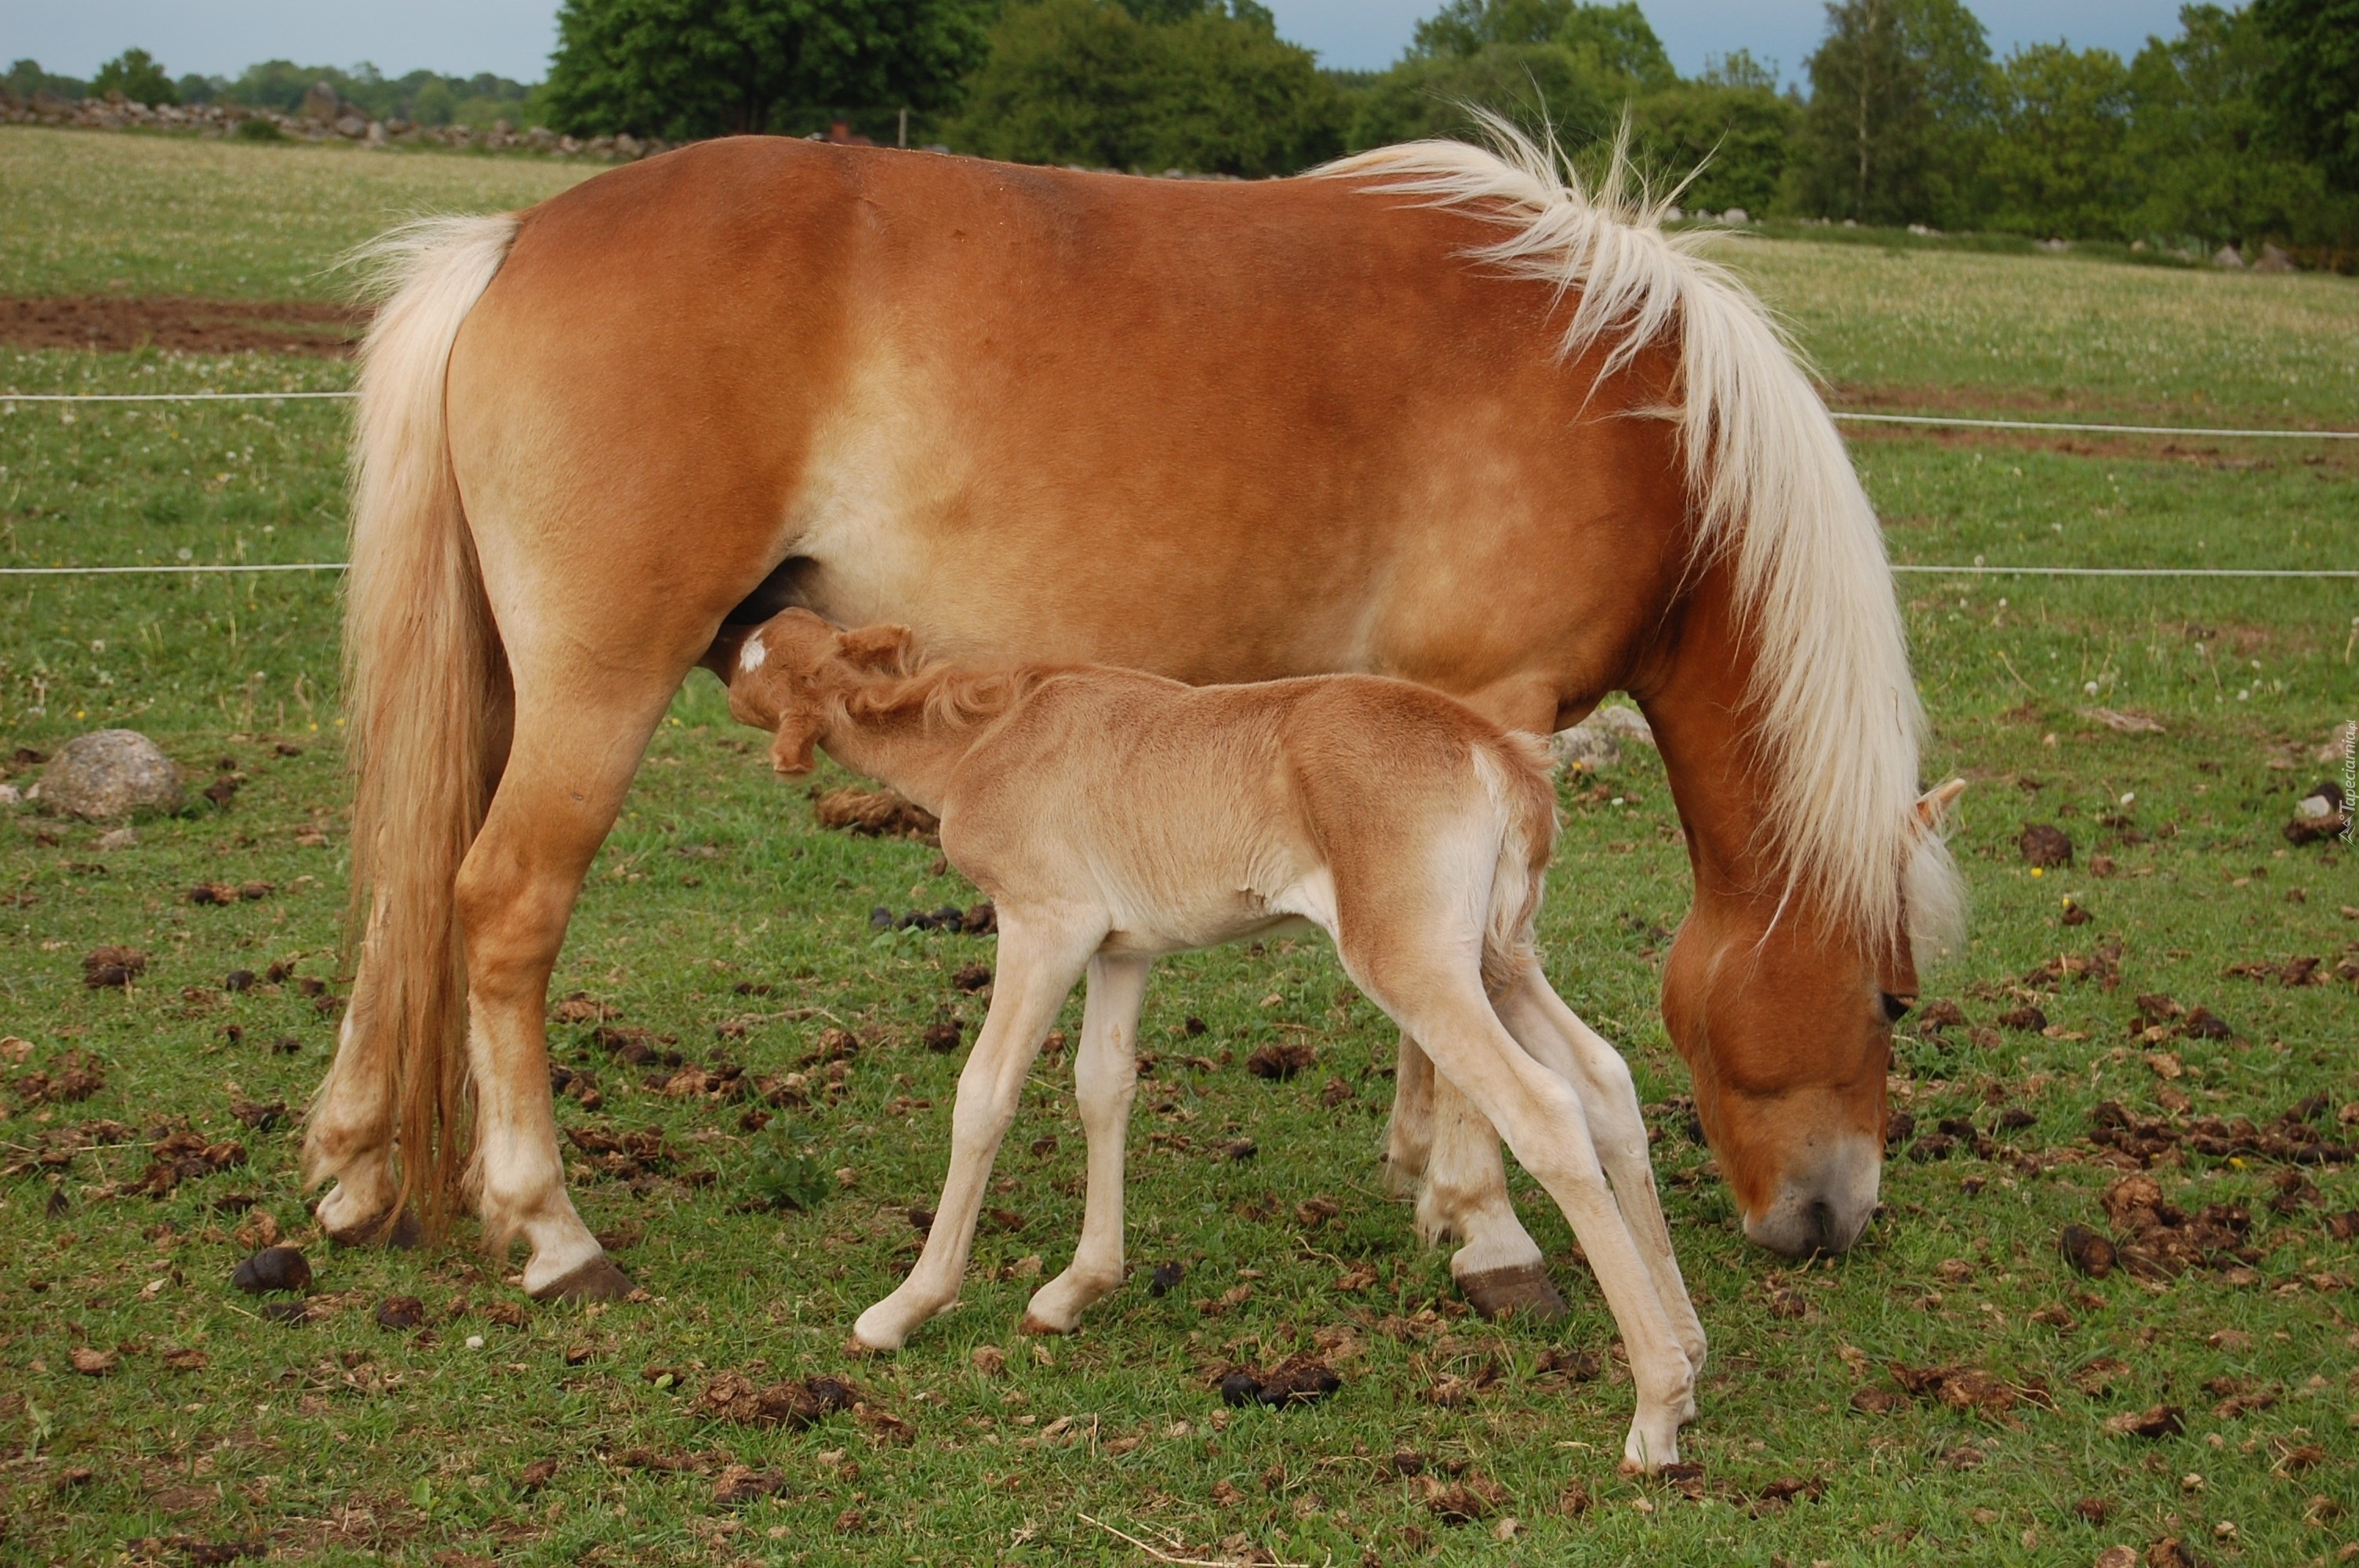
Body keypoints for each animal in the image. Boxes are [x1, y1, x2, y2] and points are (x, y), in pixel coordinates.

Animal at [726, 608, 1707, 1471]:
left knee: (1544, 1109)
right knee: (1604, 1081)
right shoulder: (1120, 947)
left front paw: (901, 1308)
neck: (984, 734)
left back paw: (1653, 1411)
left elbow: (985, 1091)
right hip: (1500, 958)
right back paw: (1690, 1355)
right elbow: (1102, 1086)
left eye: (752, 662)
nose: (726, 648)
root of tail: (1498, 755)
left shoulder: (1046, 921)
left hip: (1415, 961)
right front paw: (1073, 1291)